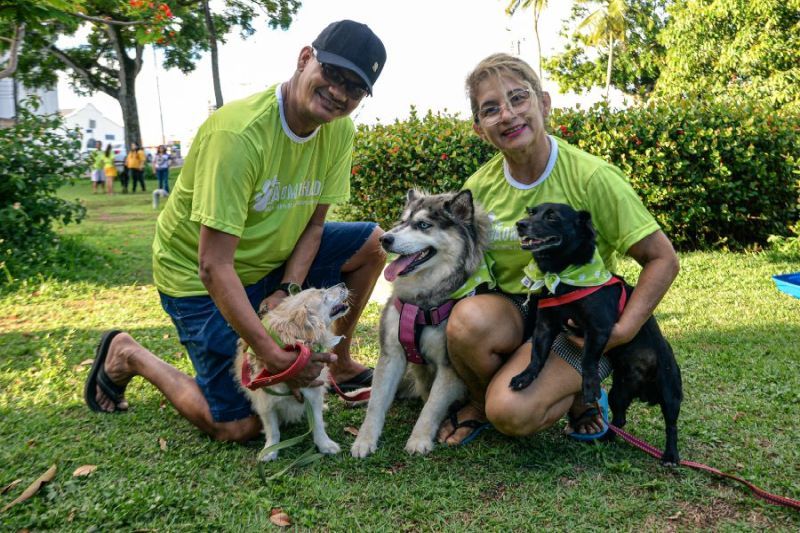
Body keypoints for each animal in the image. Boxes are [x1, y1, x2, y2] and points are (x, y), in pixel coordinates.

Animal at [236, 282, 352, 462]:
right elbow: (272, 430)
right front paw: (270, 450)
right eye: (323, 294)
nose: (343, 284)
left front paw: (325, 444)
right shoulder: (265, 402)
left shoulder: (313, 392)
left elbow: (317, 423)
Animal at [352, 189, 490, 456]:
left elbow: (432, 406)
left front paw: (419, 439)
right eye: (402, 221)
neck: (421, 303)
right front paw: (364, 439)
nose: (384, 239)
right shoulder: (391, 354)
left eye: (423, 225)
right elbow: (376, 403)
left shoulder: (448, 367)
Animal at [512, 202, 680, 464]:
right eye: (531, 212)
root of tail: (644, 391)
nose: (520, 224)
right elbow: (537, 356)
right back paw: (607, 438)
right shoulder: (545, 325)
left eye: (552, 216)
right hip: (618, 394)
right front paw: (525, 377)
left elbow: (588, 359)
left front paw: (589, 387)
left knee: (671, 426)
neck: (563, 274)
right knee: (619, 419)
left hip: (670, 393)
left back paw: (671, 455)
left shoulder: (598, 328)